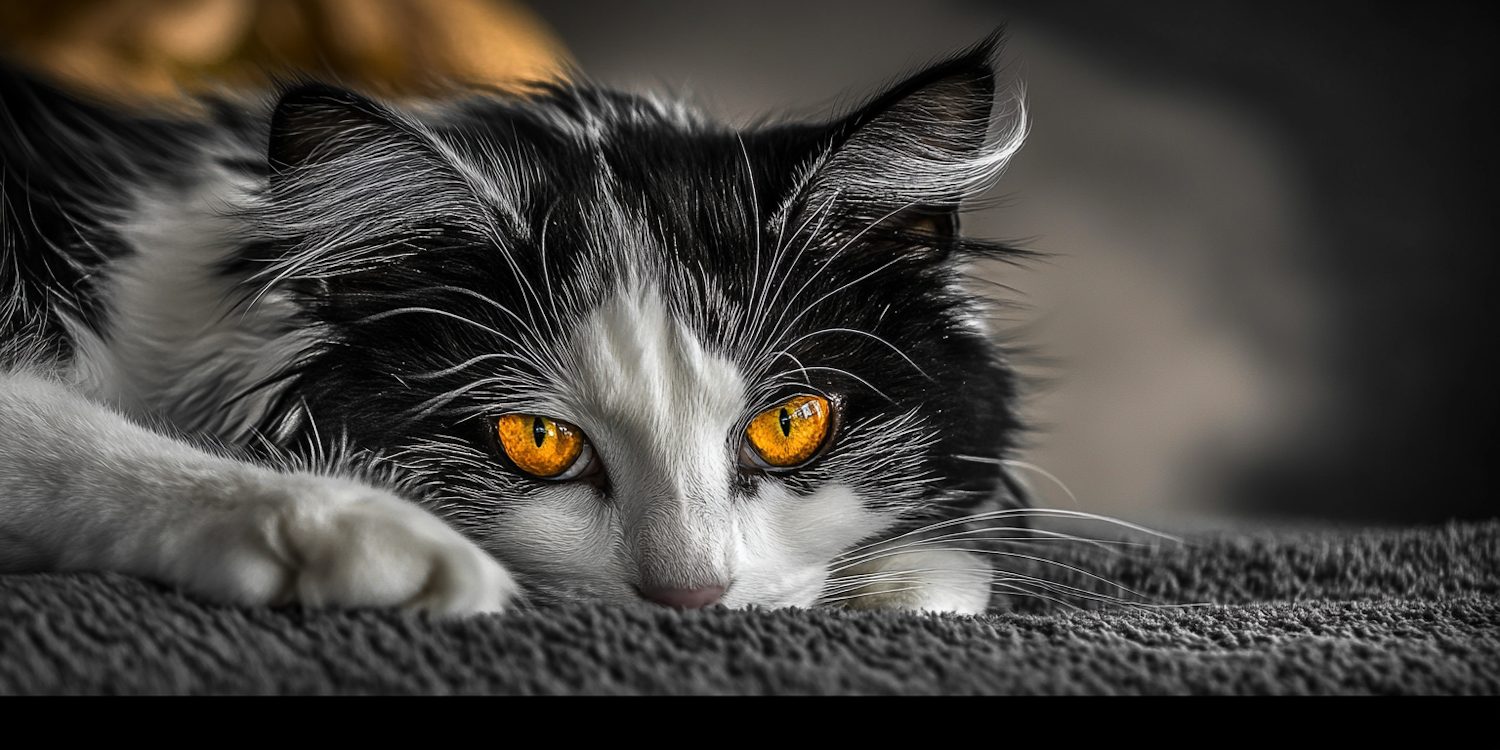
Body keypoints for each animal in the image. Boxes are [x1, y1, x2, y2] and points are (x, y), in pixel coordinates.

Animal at [0, 35, 1032, 615]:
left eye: (790, 425)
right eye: (537, 440)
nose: (691, 598)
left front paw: (918, 577)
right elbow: (59, 430)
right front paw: (368, 538)